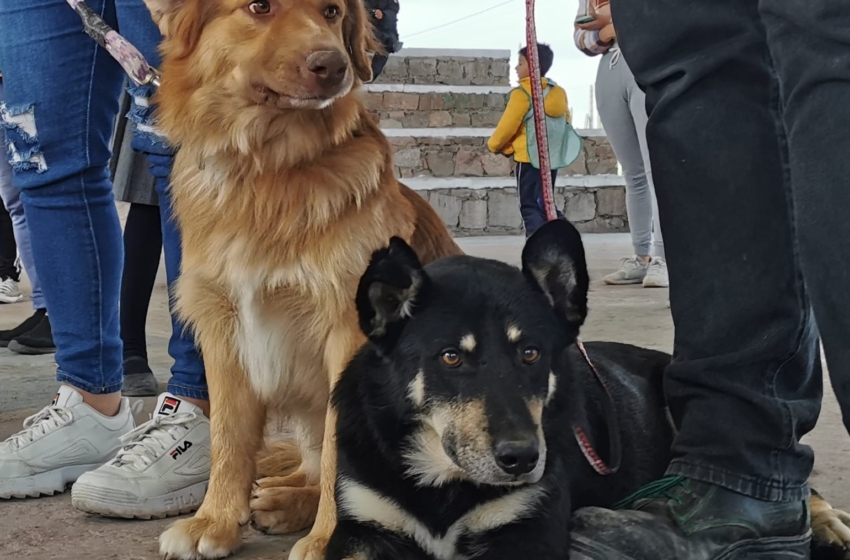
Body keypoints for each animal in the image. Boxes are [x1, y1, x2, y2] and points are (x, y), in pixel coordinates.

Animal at [141, 2, 458, 556]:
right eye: (259, 7)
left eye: (331, 11)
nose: (335, 66)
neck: (265, 167)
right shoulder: (222, 329)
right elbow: (228, 437)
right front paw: (214, 520)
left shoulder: (348, 335)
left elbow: (338, 455)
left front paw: (332, 538)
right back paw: (277, 494)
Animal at [322, 220, 840, 560]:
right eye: (451, 357)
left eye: (531, 353)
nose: (523, 459)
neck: (442, 479)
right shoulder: (362, 529)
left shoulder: (529, 529)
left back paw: (828, 524)